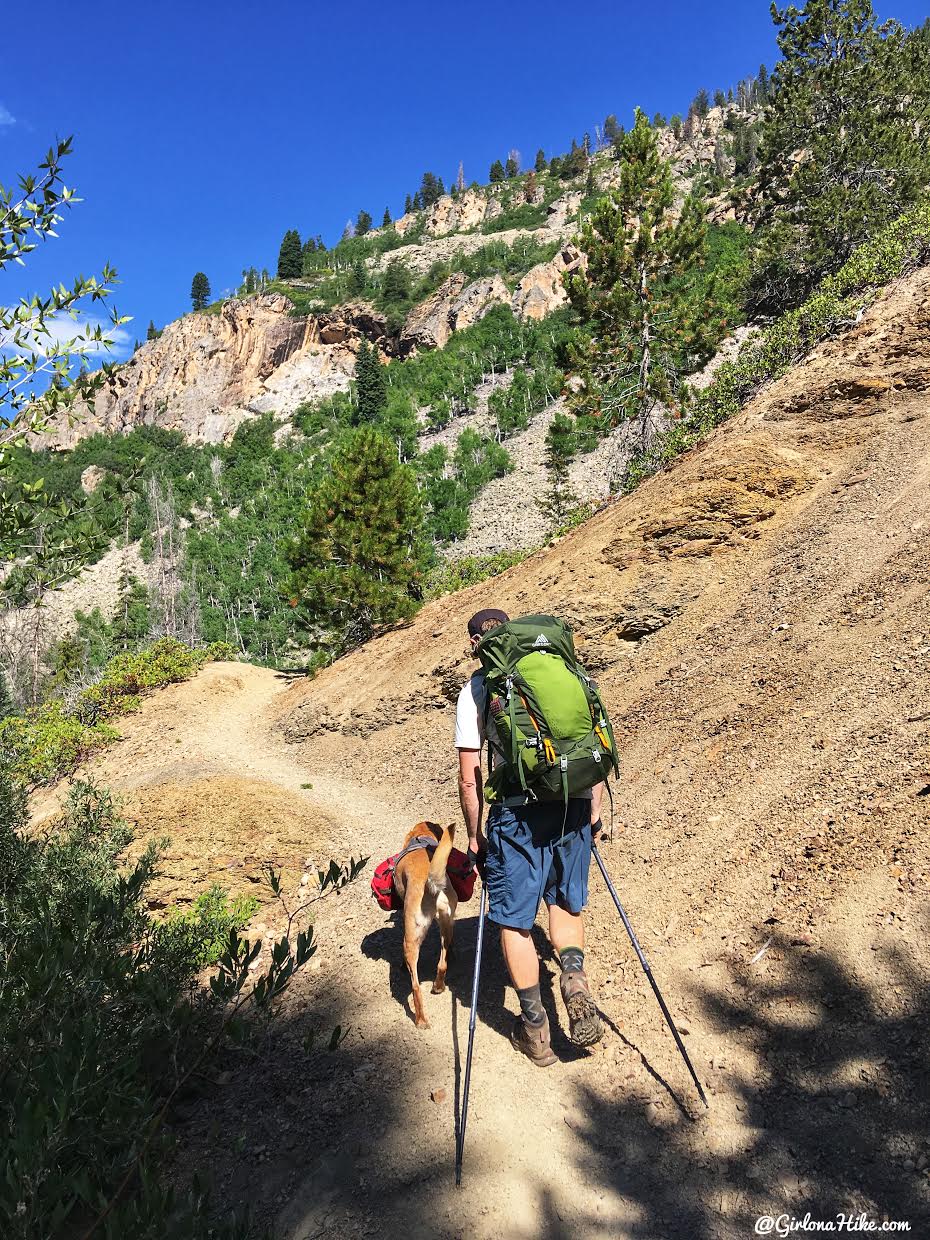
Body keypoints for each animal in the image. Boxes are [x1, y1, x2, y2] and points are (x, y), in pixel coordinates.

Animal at [394, 823, 458, 1026]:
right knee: (442, 963)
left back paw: (421, 1021)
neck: (421, 836)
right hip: (447, 924)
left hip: (411, 941)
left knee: (415, 986)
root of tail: (432, 885)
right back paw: (438, 986)